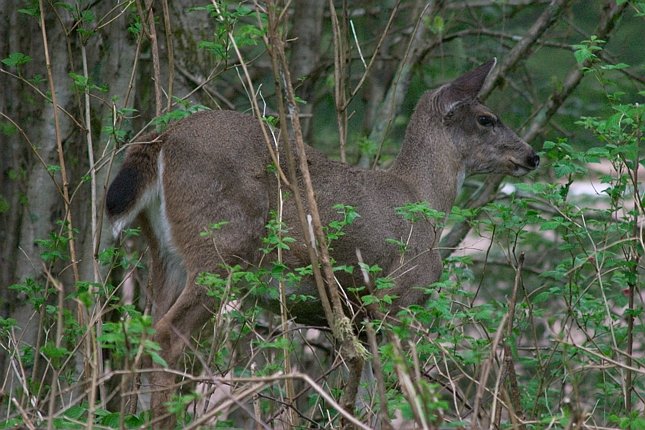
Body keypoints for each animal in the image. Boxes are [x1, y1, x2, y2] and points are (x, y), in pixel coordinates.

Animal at [105, 58, 540, 424]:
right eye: (487, 118)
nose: (532, 156)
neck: (422, 198)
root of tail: (161, 139)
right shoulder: (396, 296)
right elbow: (391, 391)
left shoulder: (359, 316)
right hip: (220, 248)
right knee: (165, 336)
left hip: (165, 255)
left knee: (138, 333)